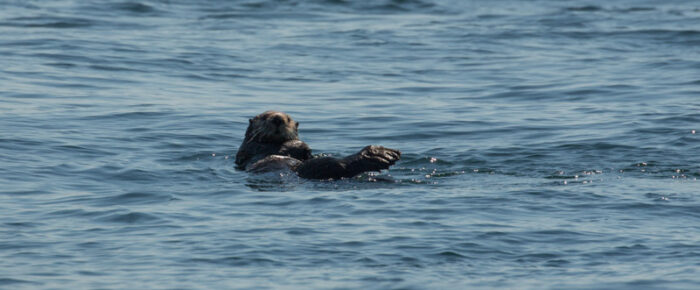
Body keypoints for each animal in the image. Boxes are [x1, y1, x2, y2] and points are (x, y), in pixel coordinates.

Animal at [235, 110, 400, 179]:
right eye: (264, 117)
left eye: (288, 118)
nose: (277, 119)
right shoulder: (251, 148)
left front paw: (302, 146)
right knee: (339, 165)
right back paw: (383, 154)